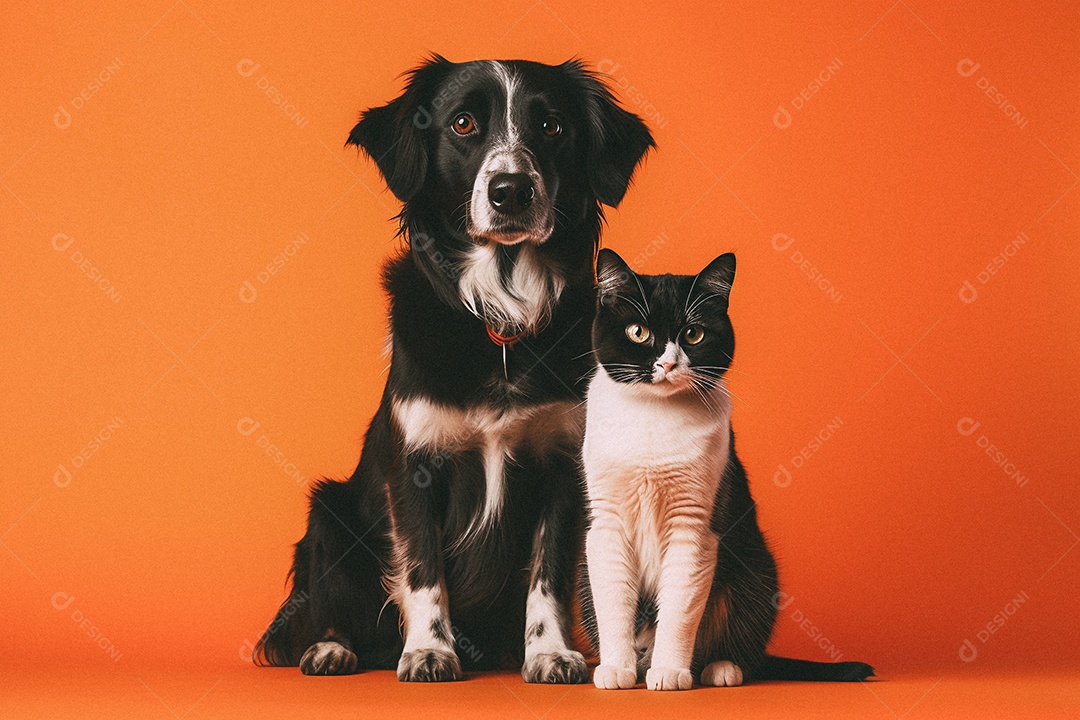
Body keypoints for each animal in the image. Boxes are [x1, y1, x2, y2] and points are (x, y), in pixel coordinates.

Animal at [257, 55, 652, 682]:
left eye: (552, 127)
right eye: (463, 123)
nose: (511, 191)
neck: (500, 321)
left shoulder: (564, 465)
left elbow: (548, 573)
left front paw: (549, 651)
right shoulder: (415, 464)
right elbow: (423, 569)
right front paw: (428, 650)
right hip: (329, 513)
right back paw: (332, 649)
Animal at [578, 250, 872, 690]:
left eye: (694, 335)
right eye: (637, 332)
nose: (667, 363)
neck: (653, 416)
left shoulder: (695, 526)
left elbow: (680, 609)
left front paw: (670, 672)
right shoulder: (607, 521)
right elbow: (613, 600)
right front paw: (617, 669)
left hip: (757, 570)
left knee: (736, 636)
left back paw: (720, 667)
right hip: (583, 570)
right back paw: (640, 663)